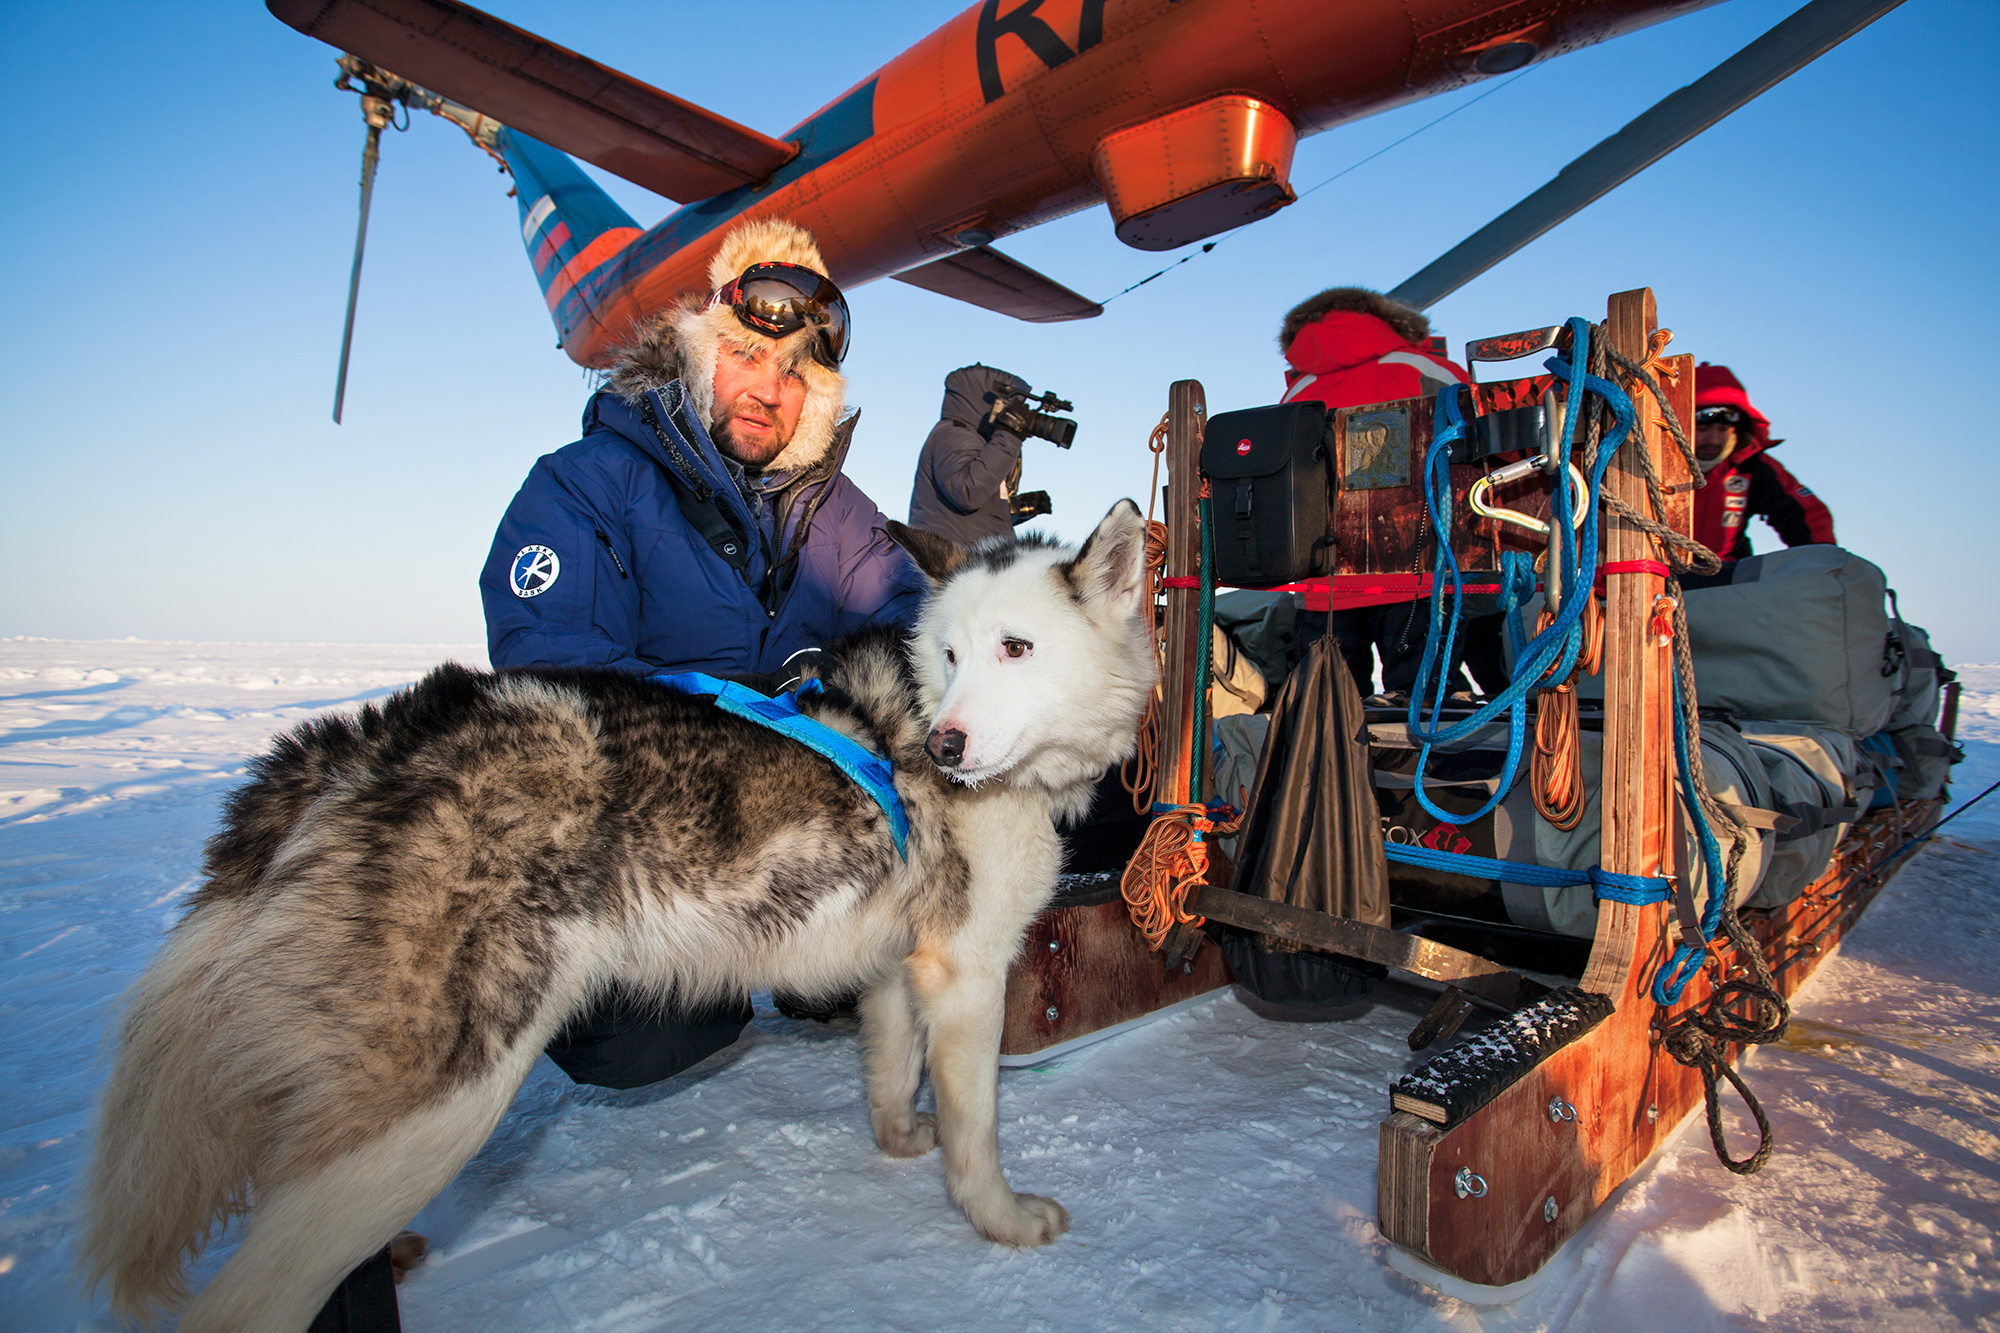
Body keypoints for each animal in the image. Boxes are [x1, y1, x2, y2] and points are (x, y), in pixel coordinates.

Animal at [82, 500, 1160, 1328]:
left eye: (1015, 648)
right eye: (950, 653)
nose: (942, 746)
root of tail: (357, 742)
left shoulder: (900, 963)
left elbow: (891, 1072)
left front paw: (900, 1141)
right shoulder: (971, 973)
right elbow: (978, 1130)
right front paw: (999, 1220)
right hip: (434, 1108)